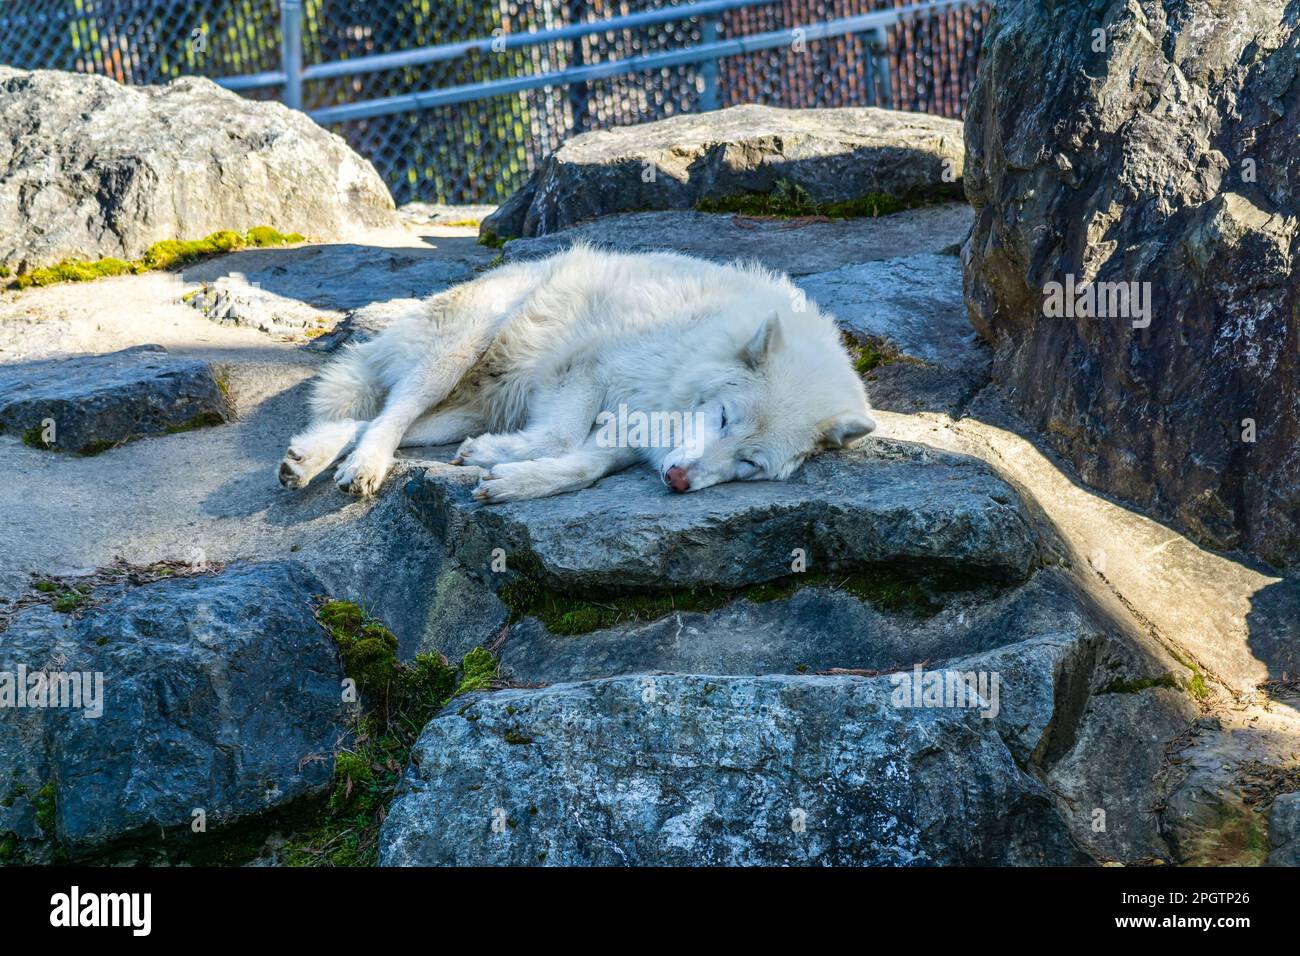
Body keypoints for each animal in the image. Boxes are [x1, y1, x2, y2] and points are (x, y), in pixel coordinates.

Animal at [279, 243, 878, 504]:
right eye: (726, 418)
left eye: (752, 464)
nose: (680, 481)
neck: (696, 339)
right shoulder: (587, 369)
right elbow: (563, 437)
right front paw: (501, 459)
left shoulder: (637, 434)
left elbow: (585, 466)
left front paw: (510, 479)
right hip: (458, 350)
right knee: (391, 414)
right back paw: (361, 467)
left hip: (467, 407)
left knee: (389, 420)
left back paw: (309, 455)